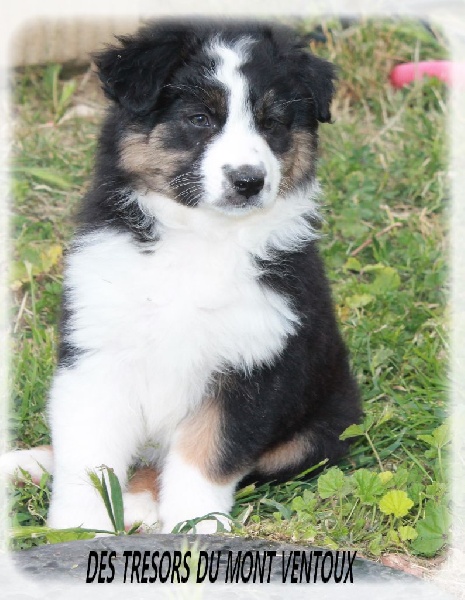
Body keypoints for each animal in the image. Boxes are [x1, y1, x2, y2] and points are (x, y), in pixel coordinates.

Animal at [1, 19, 360, 536]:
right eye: (200, 119)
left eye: (272, 123)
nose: (249, 181)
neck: (203, 236)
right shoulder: (97, 348)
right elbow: (88, 450)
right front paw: (81, 523)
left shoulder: (253, 364)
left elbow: (207, 451)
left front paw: (196, 525)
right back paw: (27, 462)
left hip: (317, 433)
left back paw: (139, 502)